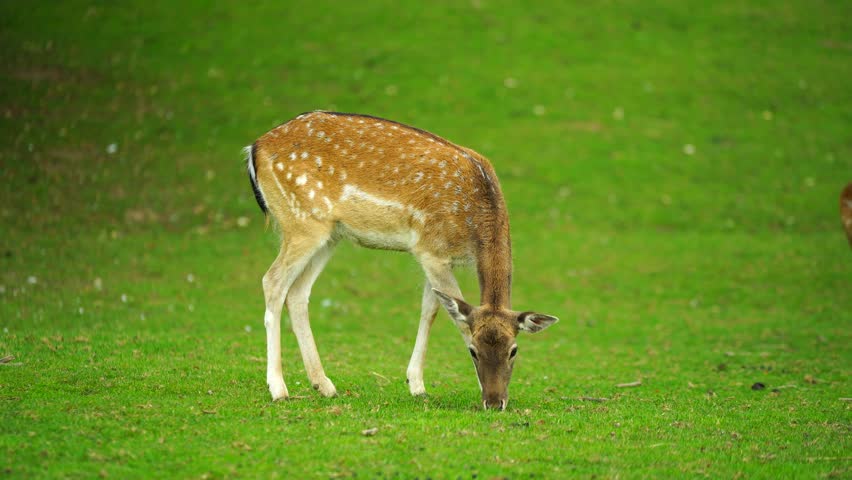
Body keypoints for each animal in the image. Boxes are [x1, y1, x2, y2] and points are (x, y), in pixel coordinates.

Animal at [245, 111, 558, 410]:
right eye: (474, 351)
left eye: (513, 350)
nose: (495, 402)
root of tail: (255, 148)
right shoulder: (430, 250)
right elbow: (455, 318)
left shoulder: (438, 257)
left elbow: (431, 309)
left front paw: (416, 384)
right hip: (302, 222)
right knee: (273, 281)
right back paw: (279, 389)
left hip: (329, 234)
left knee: (298, 292)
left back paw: (324, 385)